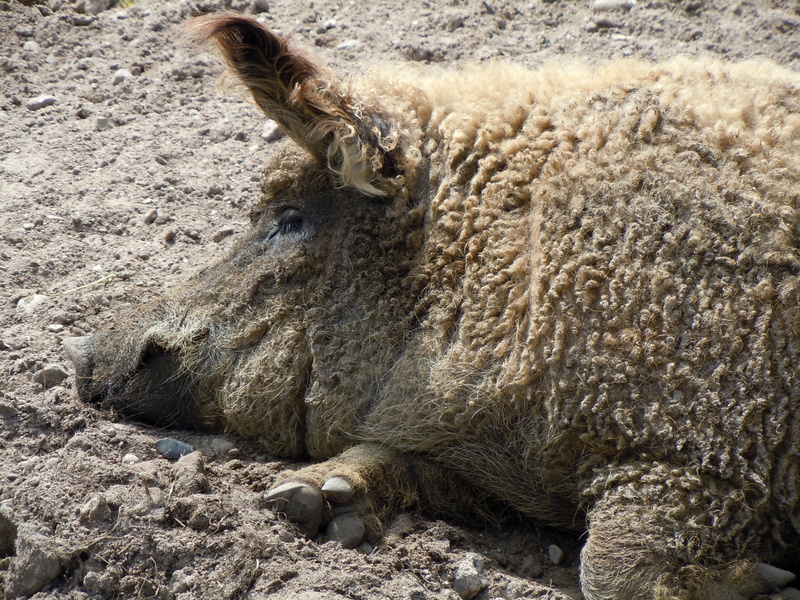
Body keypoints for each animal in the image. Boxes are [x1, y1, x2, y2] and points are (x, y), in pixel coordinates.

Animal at [64, 15, 800, 600]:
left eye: (289, 218)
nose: (85, 354)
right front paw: (302, 501)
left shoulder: (710, 449)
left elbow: (614, 570)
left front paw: (767, 581)